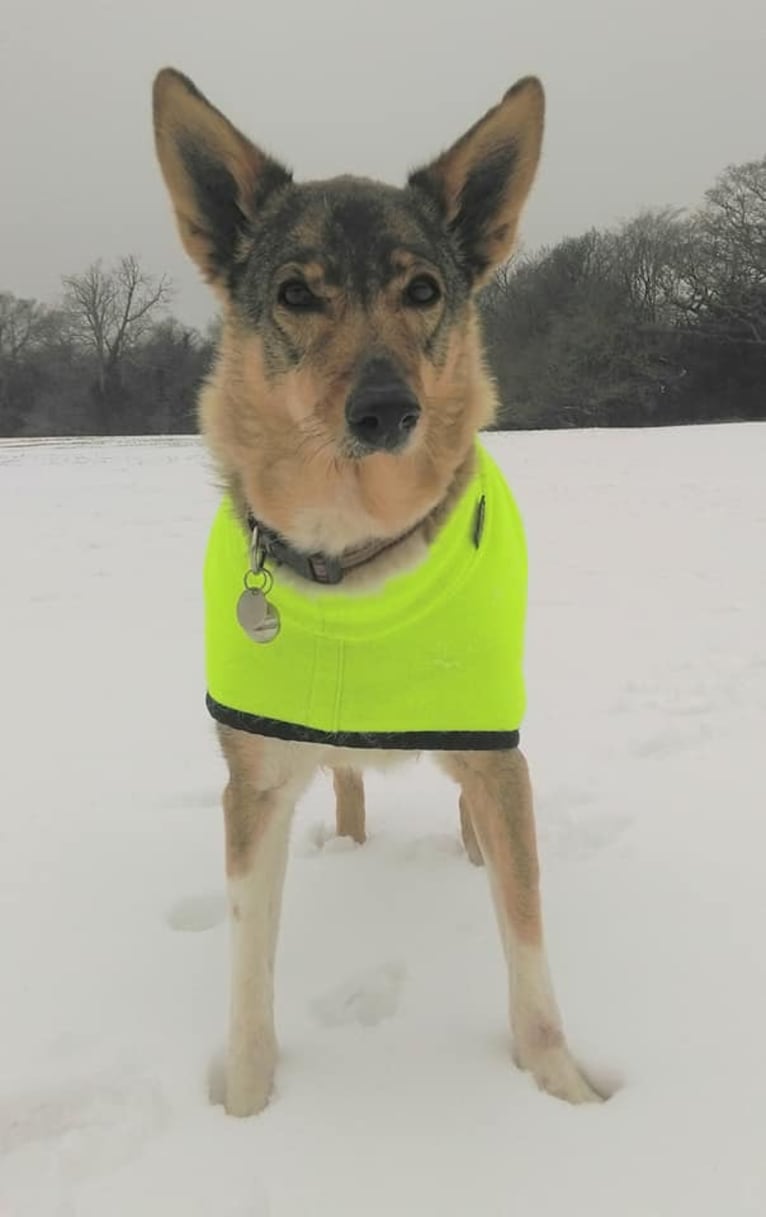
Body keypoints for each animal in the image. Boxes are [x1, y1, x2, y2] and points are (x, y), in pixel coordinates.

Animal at [152, 64, 601, 1114]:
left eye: (423, 289)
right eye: (295, 293)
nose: (388, 409)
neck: (351, 558)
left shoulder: (494, 749)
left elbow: (526, 940)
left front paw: (563, 1092)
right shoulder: (253, 779)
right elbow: (250, 968)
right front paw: (245, 1109)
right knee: (349, 778)